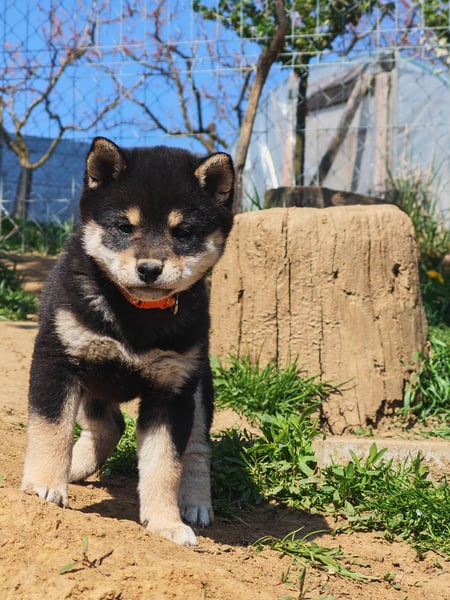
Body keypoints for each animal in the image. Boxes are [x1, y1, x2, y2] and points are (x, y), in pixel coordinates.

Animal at [21, 137, 234, 546]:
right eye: (123, 226)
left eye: (183, 233)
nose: (149, 269)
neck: (135, 313)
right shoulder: (58, 360)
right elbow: (51, 430)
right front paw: (43, 486)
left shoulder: (173, 392)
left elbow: (165, 464)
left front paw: (166, 522)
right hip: (94, 376)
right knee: (108, 425)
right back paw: (75, 467)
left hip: (199, 385)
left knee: (197, 447)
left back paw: (196, 501)